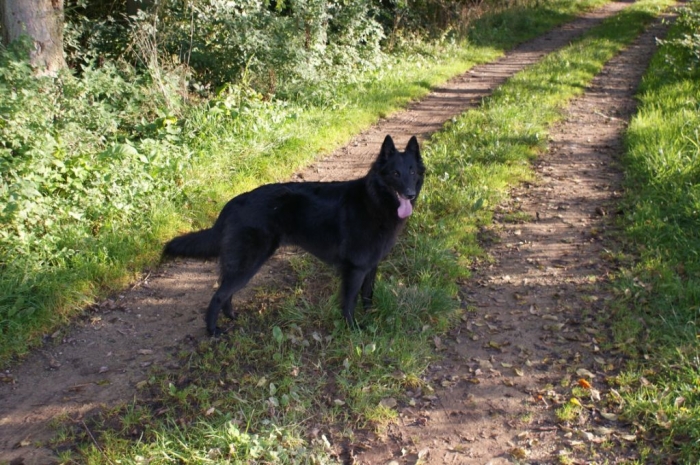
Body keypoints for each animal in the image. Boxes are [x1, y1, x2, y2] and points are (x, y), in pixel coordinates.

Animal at [165, 134, 426, 334]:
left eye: (412, 172)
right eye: (395, 174)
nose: (410, 194)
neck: (374, 200)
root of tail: (234, 202)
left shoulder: (371, 266)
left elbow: (367, 295)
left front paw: (371, 317)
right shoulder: (355, 269)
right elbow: (349, 302)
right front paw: (353, 329)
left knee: (226, 293)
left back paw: (232, 317)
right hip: (248, 263)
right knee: (219, 295)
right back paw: (212, 330)